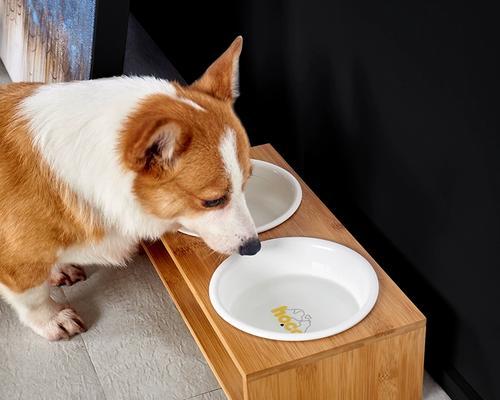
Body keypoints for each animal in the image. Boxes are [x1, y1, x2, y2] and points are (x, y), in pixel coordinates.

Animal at [1, 36, 262, 340]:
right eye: (213, 200)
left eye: (246, 184)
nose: (254, 247)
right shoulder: (16, 264)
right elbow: (33, 297)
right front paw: (53, 319)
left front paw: (58, 269)